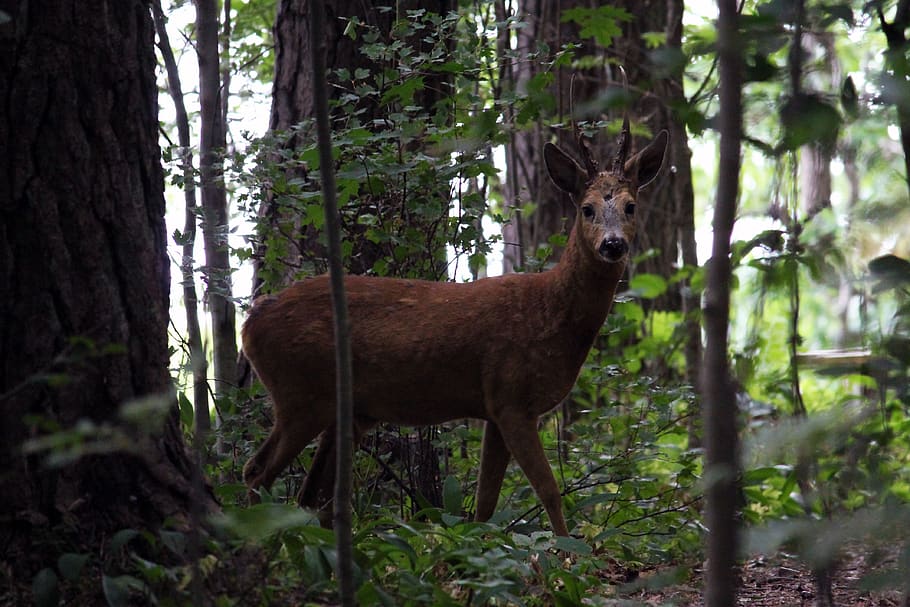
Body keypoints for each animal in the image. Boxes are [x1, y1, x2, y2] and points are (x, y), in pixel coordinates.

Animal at [241, 109, 669, 537]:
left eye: (631, 206)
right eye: (587, 208)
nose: (612, 244)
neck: (550, 316)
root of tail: (251, 321)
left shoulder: (496, 408)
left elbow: (485, 504)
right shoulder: (512, 398)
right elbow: (549, 490)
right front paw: (567, 552)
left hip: (345, 410)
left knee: (310, 494)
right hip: (300, 393)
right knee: (257, 471)